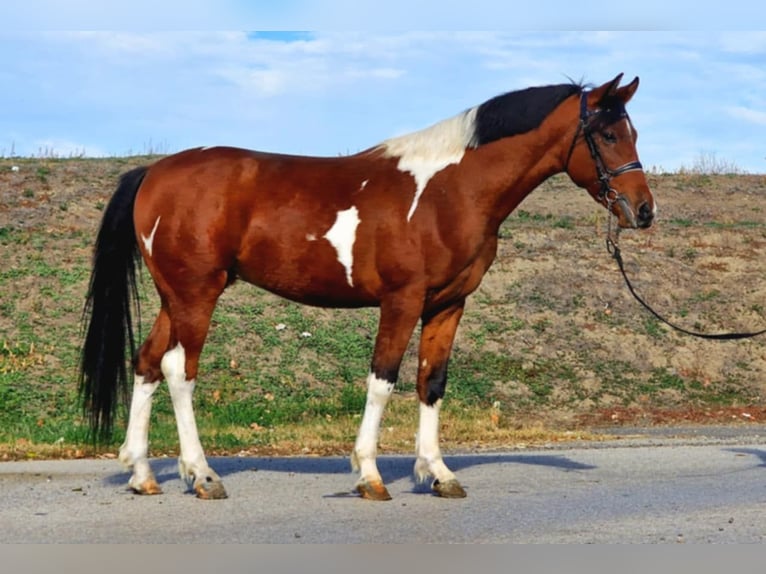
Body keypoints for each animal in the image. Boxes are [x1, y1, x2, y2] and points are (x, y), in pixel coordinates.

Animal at [80, 73, 655, 501]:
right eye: (607, 135)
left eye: (633, 133)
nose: (644, 210)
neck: (448, 191)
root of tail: (155, 172)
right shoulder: (401, 300)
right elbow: (383, 380)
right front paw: (370, 475)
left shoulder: (448, 304)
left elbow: (431, 383)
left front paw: (438, 474)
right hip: (198, 294)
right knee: (180, 370)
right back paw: (201, 475)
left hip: (173, 297)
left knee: (147, 362)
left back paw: (142, 474)